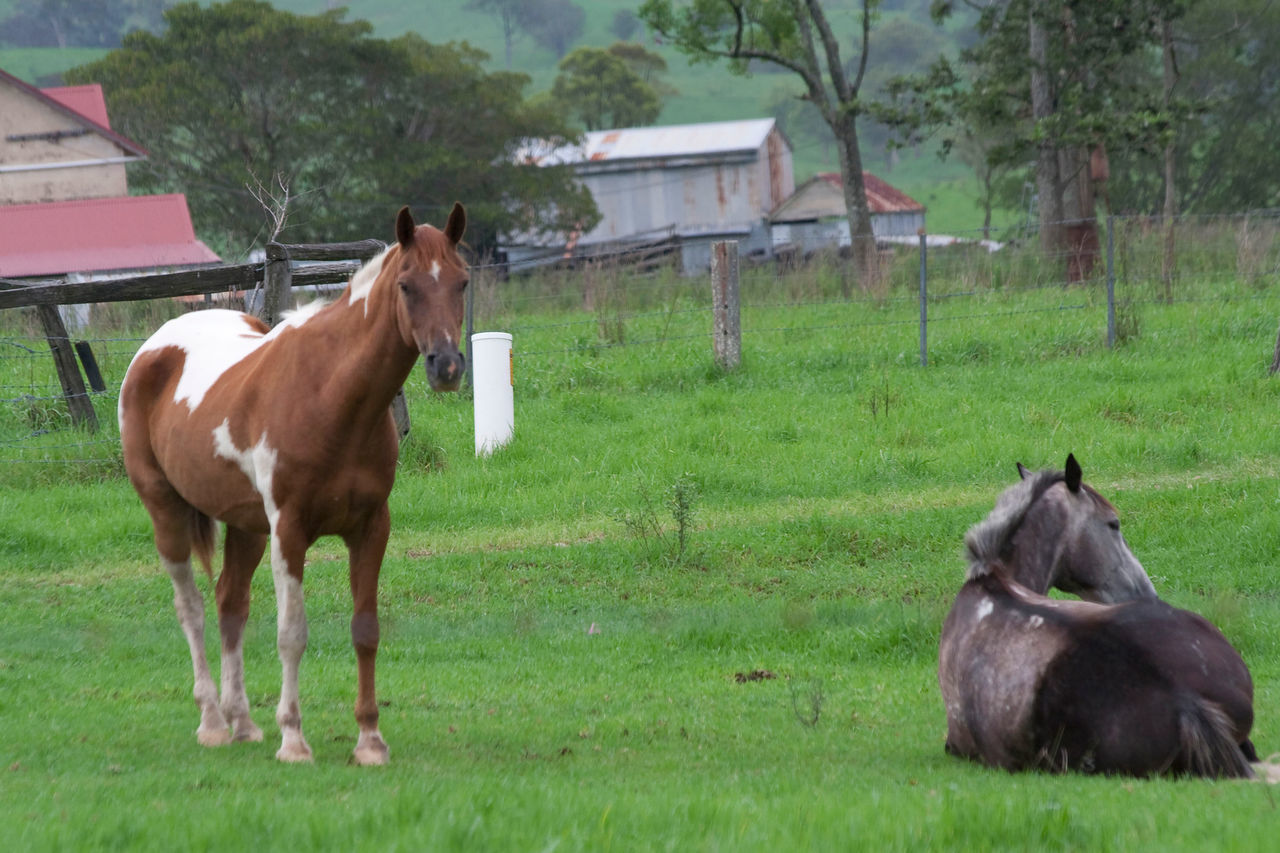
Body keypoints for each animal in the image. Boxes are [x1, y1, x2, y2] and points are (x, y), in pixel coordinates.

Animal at [119, 202, 471, 758]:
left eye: (462, 282)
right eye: (407, 285)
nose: (447, 366)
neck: (331, 395)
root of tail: (155, 349)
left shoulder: (371, 528)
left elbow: (365, 628)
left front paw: (370, 740)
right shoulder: (289, 531)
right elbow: (292, 633)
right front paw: (293, 739)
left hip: (245, 527)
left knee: (230, 605)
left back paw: (242, 722)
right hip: (167, 514)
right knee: (192, 608)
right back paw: (213, 722)